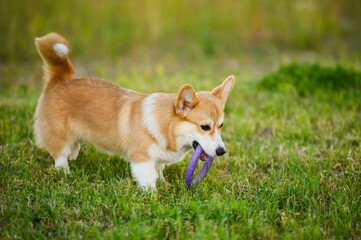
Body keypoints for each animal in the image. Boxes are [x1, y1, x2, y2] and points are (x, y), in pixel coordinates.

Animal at [33, 32, 233, 188]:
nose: (222, 152)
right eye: (205, 127)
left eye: (221, 126)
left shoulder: (158, 159)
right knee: (59, 155)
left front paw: (164, 184)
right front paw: (153, 197)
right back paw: (64, 172)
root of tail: (59, 80)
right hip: (58, 134)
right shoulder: (141, 159)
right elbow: (149, 181)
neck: (166, 125)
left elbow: (159, 172)